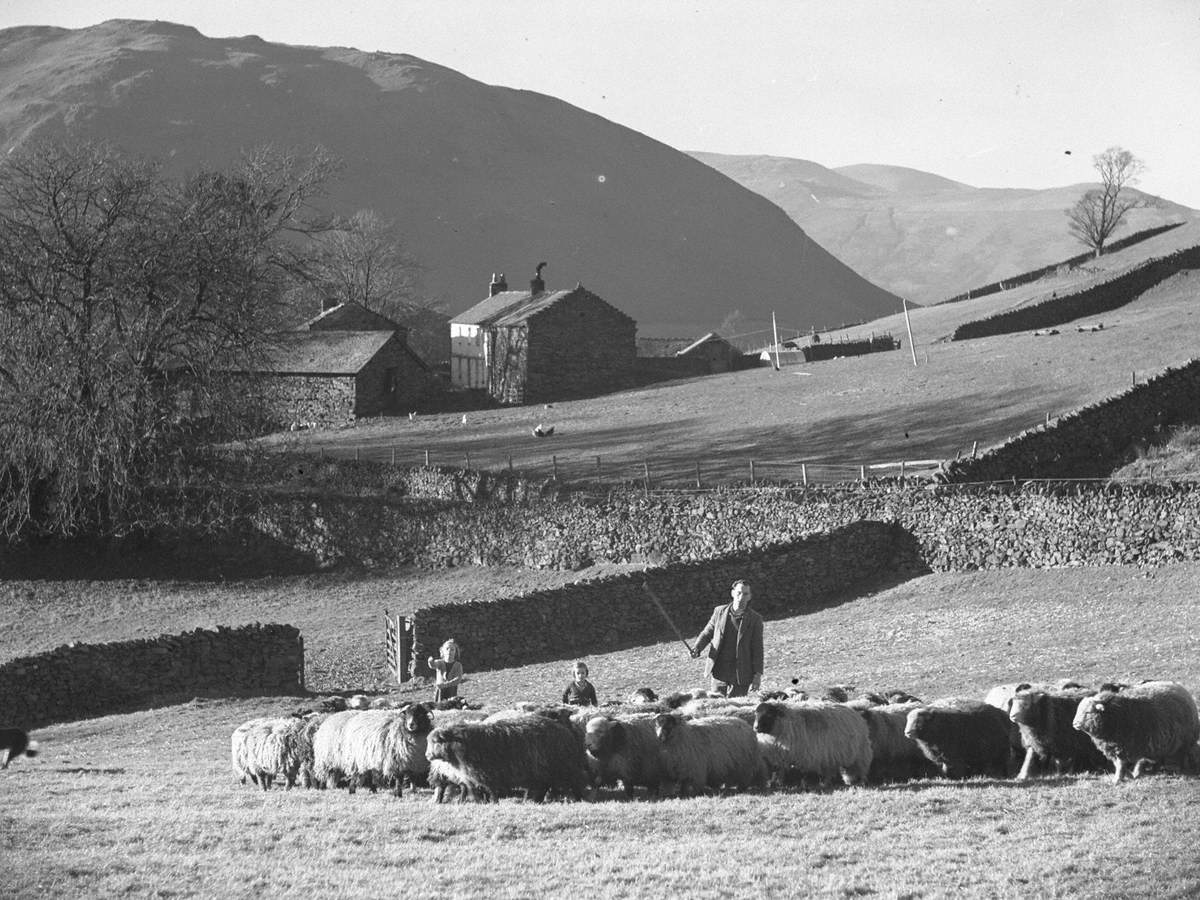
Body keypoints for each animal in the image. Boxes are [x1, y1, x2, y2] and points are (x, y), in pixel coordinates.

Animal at [424, 710, 588, 801]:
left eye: (435, 741)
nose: (427, 755)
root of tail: (565, 731)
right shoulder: (476, 778)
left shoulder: (487, 775)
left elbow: (490, 793)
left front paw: (491, 803)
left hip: (561, 767)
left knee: (573, 783)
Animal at [1070, 681, 1200, 782]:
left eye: (1088, 712)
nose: (1074, 724)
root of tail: (1180, 687)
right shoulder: (1118, 748)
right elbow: (1120, 764)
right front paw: (1127, 776)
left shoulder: (1130, 746)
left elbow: (1123, 764)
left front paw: (1118, 779)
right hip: (1162, 743)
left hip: (1183, 742)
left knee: (1180, 756)